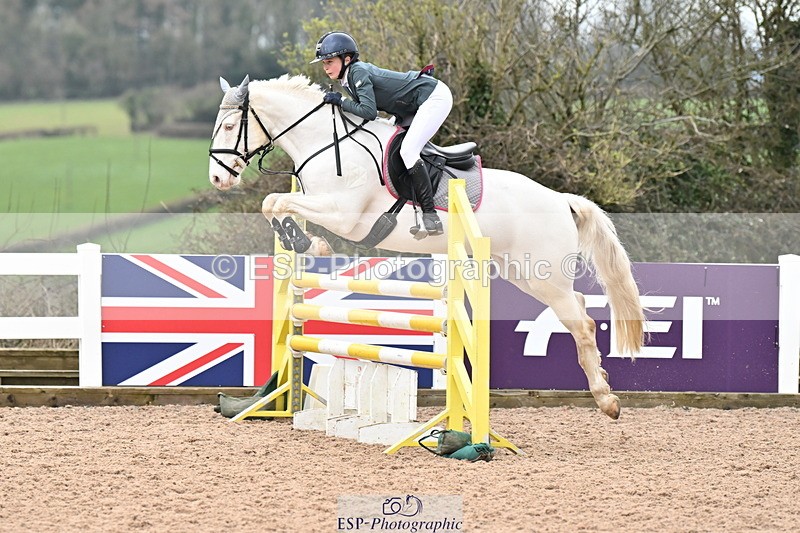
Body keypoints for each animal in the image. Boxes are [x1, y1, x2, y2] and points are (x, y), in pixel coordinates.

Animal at [208, 74, 645, 419]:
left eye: (229, 126)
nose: (217, 179)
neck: (325, 142)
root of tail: (561, 199)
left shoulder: (343, 214)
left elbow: (277, 202)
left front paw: (311, 244)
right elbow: (272, 204)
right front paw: (299, 240)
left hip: (543, 276)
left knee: (582, 323)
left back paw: (607, 401)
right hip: (522, 272)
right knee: (580, 310)